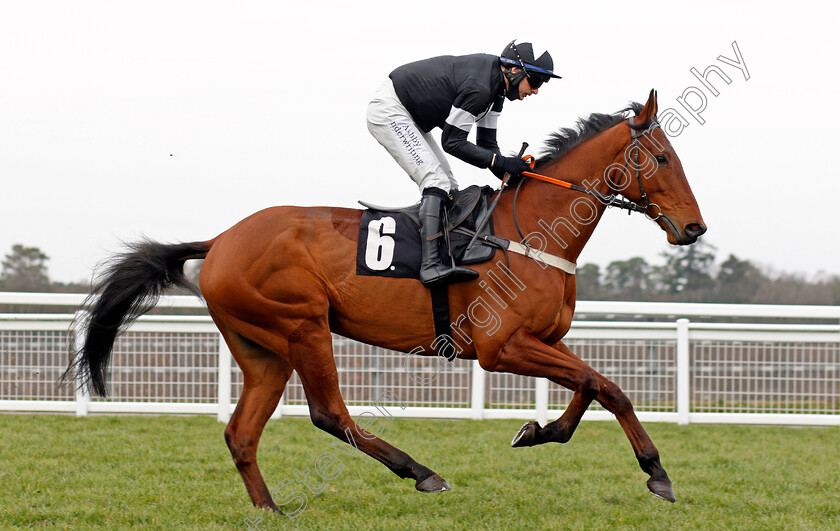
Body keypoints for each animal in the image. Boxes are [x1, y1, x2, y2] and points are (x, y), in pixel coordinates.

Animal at [69, 90, 704, 512]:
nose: (694, 228)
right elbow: (606, 385)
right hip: (302, 325)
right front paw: (657, 473)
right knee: (329, 414)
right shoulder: (501, 347)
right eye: (664, 159)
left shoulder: (543, 339)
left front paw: (539, 432)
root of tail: (220, 240)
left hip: (261, 350)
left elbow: (593, 387)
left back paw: (269, 509)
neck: (532, 232)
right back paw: (421, 472)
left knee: (242, 434)